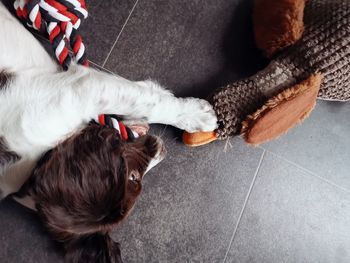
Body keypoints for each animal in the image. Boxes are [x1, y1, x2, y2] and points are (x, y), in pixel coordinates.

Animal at [0, 2, 217, 263]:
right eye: (133, 178)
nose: (162, 149)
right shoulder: (83, 89)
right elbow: (146, 102)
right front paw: (197, 114)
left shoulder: (79, 87)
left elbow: (147, 102)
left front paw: (195, 115)